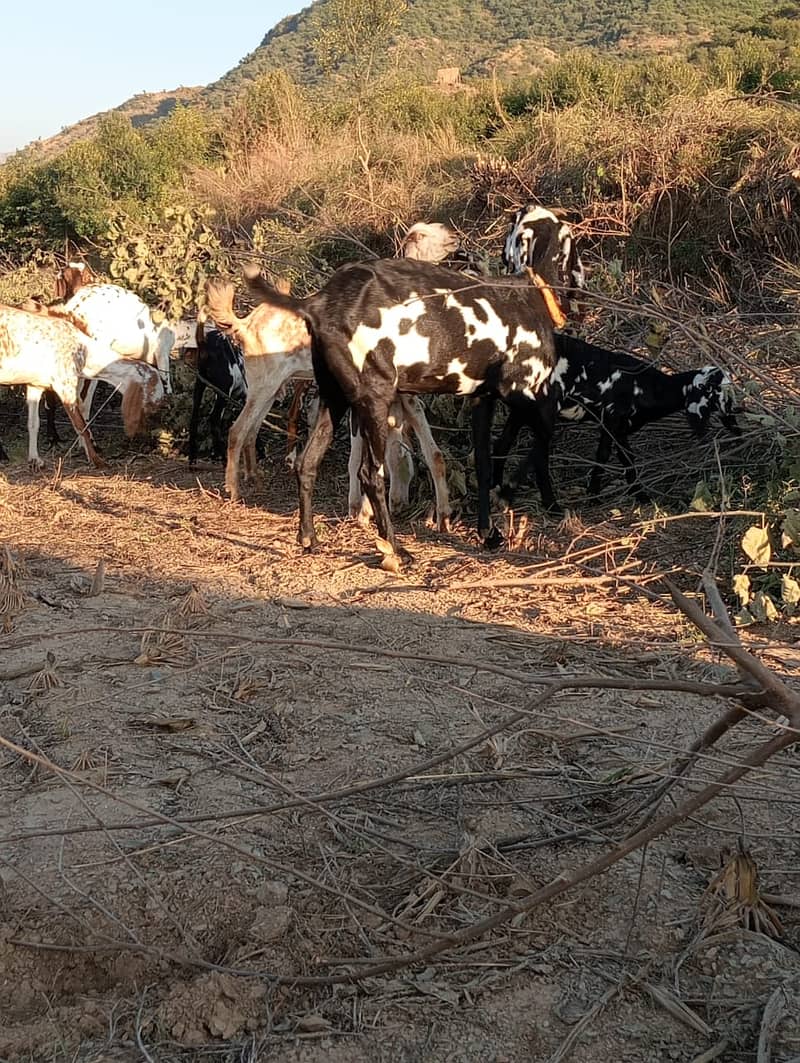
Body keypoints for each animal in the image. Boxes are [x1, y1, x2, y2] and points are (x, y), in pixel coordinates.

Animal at [492, 333, 743, 503]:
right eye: (720, 394)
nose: (737, 426)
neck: (646, 386)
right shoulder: (612, 419)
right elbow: (611, 455)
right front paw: (603, 495)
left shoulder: (618, 426)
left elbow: (620, 456)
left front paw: (630, 493)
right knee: (537, 457)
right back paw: (552, 506)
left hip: (519, 411)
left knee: (502, 445)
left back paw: (495, 488)